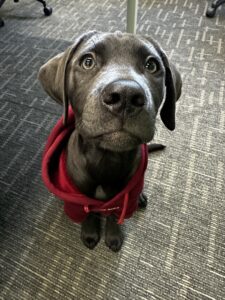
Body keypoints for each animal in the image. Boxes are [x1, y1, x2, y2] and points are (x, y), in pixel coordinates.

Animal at [38, 31, 182, 251]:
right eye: (88, 61)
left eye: (152, 65)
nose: (125, 95)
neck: (106, 160)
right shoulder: (79, 199)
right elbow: (88, 213)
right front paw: (90, 233)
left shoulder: (123, 199)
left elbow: (115, 215)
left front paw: (113, 237)